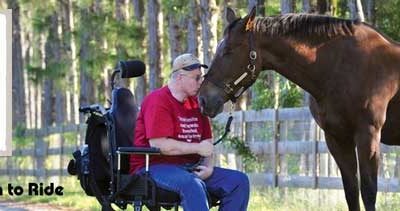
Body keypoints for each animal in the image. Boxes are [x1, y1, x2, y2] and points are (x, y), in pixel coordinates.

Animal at [198, 6, 400, 211]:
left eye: (228, 51)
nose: (203, 99)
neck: (340, 67)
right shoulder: (337, 138)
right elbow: (351, 191)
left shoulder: (368, 135)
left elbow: (368, 191)